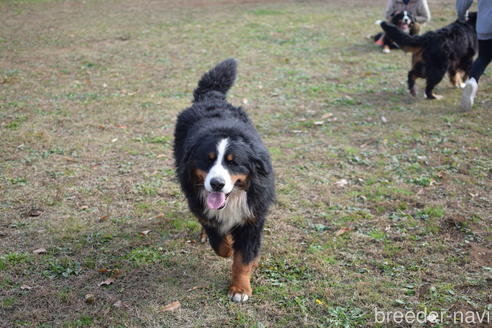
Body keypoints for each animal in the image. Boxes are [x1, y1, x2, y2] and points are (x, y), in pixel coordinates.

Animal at [173, 58, 274, 302]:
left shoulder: (252, 218)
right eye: (208, 160)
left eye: (233, 162)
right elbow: (219, 243)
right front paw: (227, 246)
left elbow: (244, 258)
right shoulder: (203, 208)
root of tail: (210, 97)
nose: (216, 184)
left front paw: (240, 289)